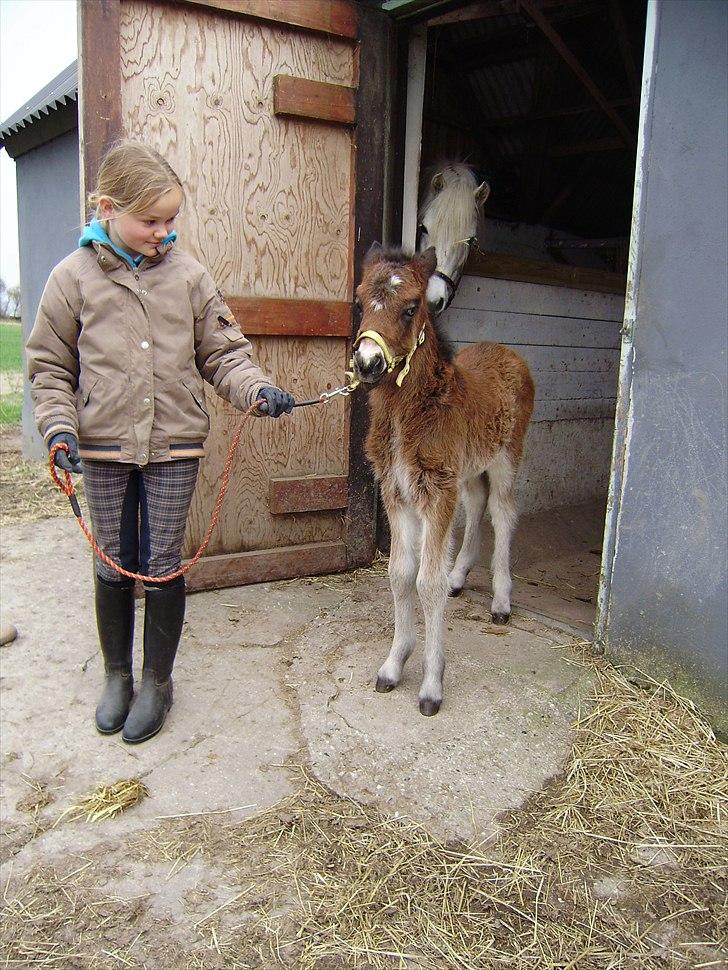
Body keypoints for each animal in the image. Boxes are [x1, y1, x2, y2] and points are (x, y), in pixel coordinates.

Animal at [352, 244, 536, 712]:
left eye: (410, 308)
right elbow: (400, 573)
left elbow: (426, 581)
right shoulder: (397, 491)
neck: (409, 414)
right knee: (476, 502)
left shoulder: (436, 493)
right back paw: (459, 576)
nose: (367, 363)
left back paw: (501, 600)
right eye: (360, 303)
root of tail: (507, 351)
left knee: (503, 511)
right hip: (468, 467)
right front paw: (394, 664)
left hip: (507, 456)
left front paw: (432, 685)